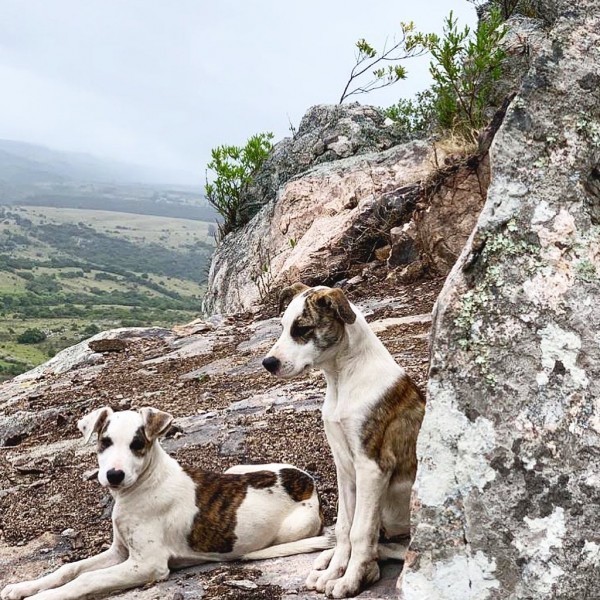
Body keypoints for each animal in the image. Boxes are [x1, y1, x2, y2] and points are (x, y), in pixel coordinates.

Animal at [0, 406, 330, 600]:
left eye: (137, 444)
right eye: (104, 442)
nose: (114, 475)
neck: (140, 487)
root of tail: (308, 481)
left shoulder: (147, 564)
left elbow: (86, 579)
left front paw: (40, 597)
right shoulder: (120, 552)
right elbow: (69, 569)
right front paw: (22, 588)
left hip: (296, 528)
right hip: (237, 468)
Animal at [264, 284, 426, 596]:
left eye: (302, 329)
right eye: (282, 327)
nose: (268, 363)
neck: (341, 380)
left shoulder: (371, 467)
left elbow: (359, 532)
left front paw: (348, 581)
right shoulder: (344, 466)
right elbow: (344, 528)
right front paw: (335, 572)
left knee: (388, 547)